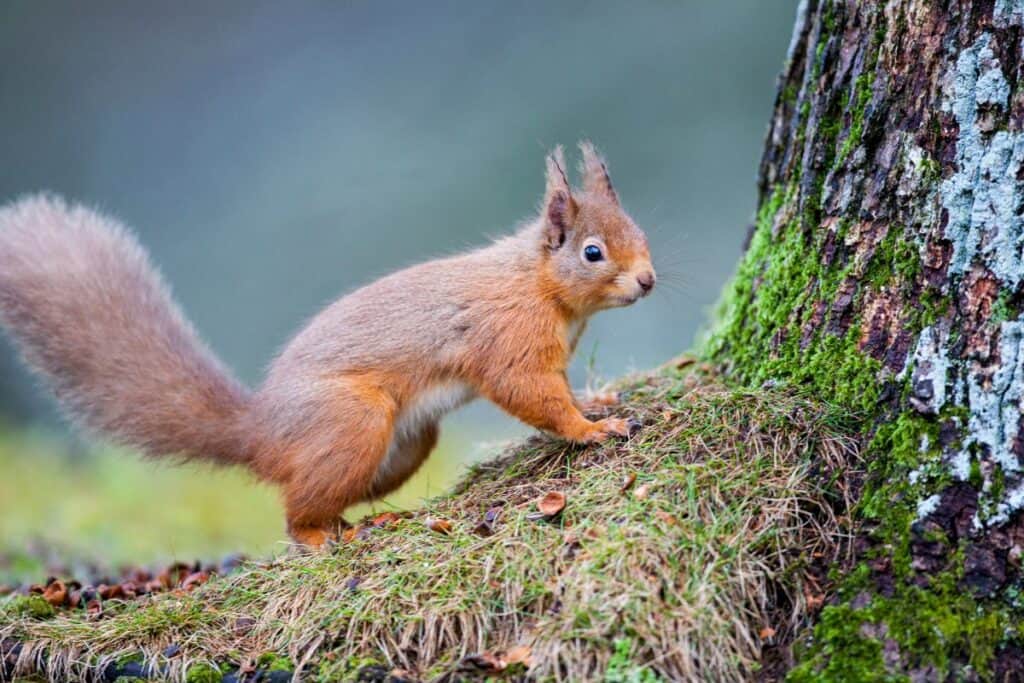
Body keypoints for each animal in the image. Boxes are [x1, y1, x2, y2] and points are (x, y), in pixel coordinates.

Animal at [0, 141, 655, 548]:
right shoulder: (509, 337)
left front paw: (596, 404)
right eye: (592, 252)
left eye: (640, 232)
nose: (648, 280)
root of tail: (259, 432)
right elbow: (532, 394)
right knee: (295, 513)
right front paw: (591, 429)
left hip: (401, 447)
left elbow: (561, 389)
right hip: (351, 422)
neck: (541, 285)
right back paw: (319, 538)